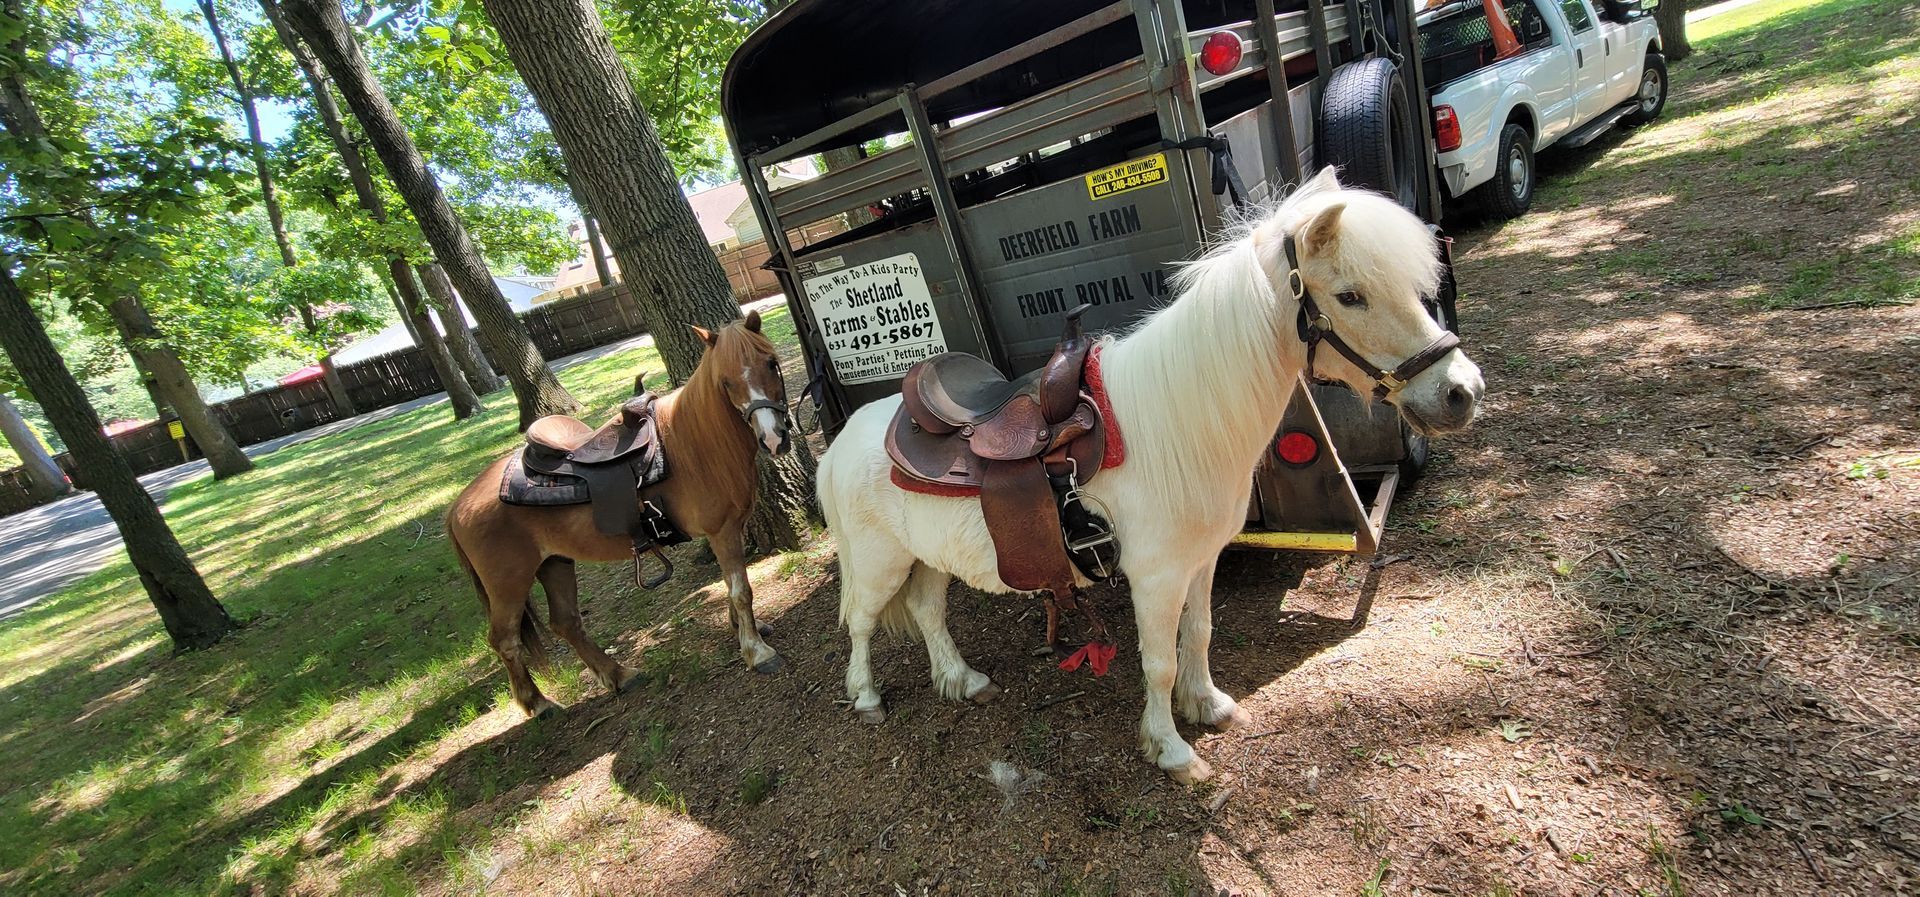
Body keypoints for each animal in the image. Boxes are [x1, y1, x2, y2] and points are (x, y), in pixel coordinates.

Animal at [446, 311, 793, 718]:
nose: (773, 439)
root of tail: (459, 505)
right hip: (508, 583)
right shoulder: (721, 531)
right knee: (505, 639)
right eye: (726, 382)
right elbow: (740, 590)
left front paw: (743, 631)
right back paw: (539, 703)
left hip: (555, 564)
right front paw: (756, 651)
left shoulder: (730, 530)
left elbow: (730, 584)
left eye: (771, 363)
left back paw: (619, 675)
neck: (695, 446)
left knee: (566, 623)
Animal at [817, 168, 1485, 783]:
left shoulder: (1202, 560)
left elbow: (1201, 634)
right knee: (861, 622)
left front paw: (1208, 705)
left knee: (927, 611)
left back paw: (962, 678)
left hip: (926, 558)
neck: (1177, 420)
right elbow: (1158, 662)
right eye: (1350, 296)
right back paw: (867, 697)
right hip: (880, 563)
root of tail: (840, 444)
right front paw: (1170, 749)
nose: (1462, 392)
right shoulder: (1156, 577)